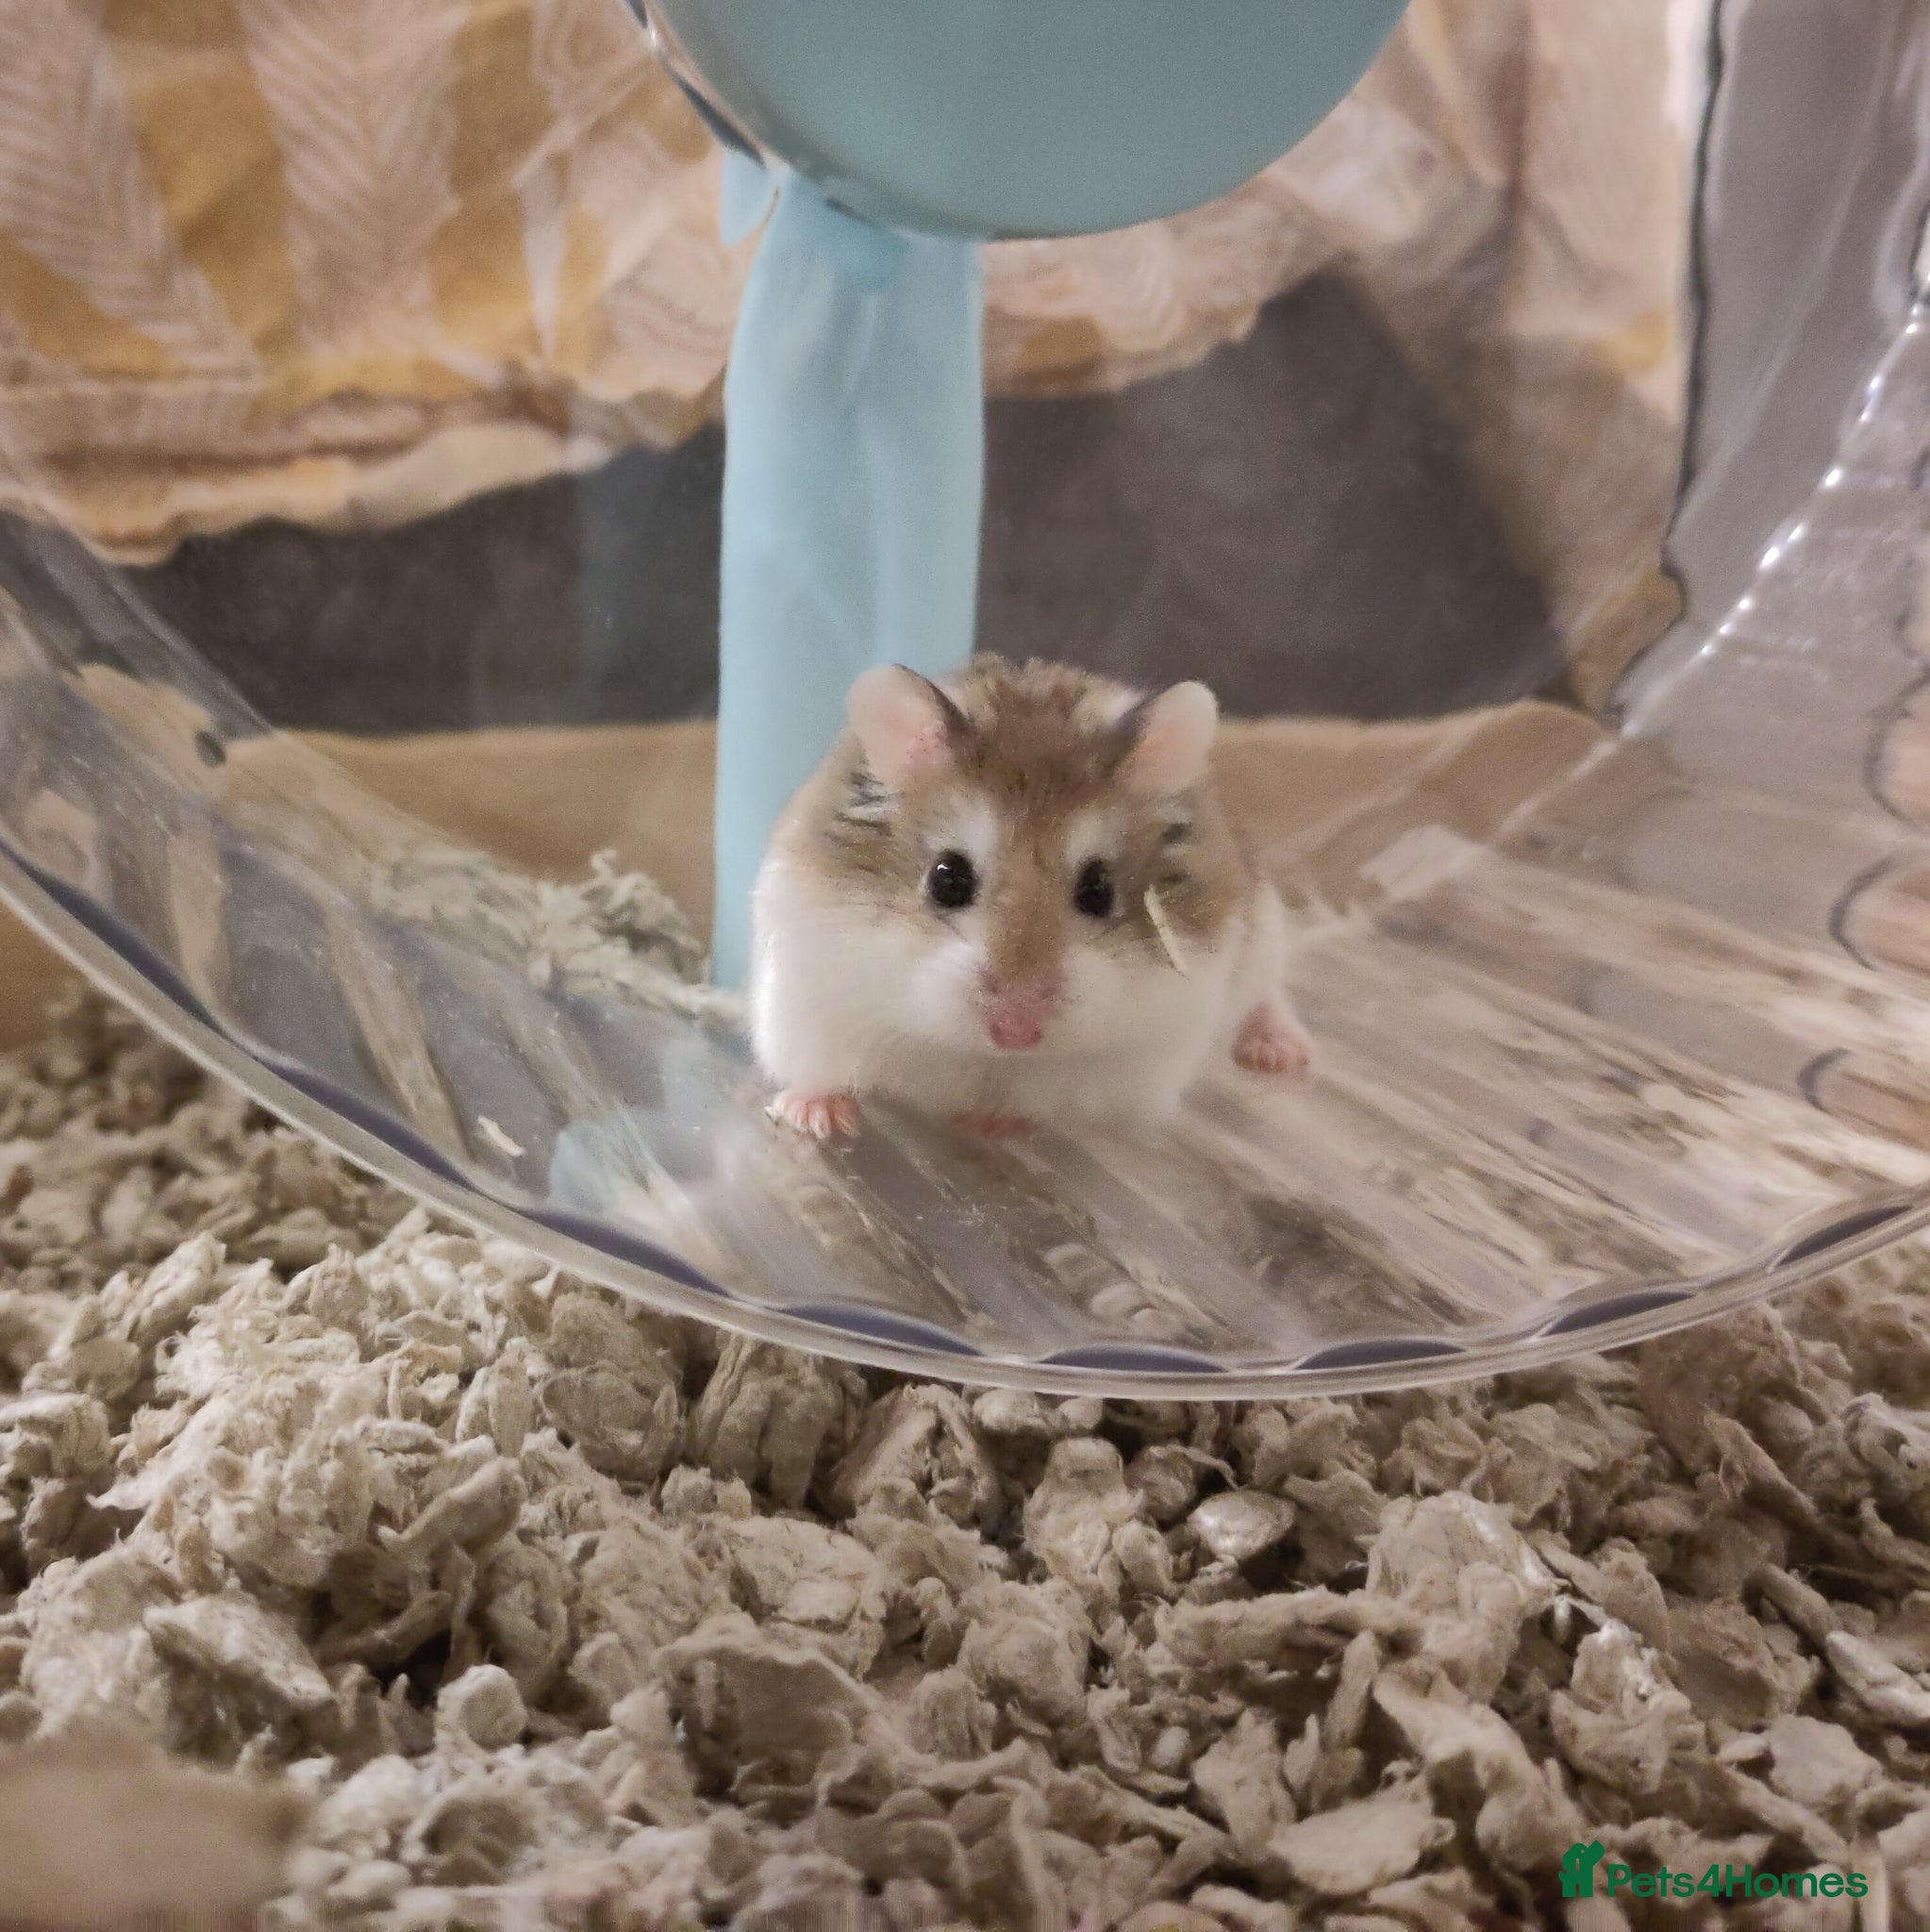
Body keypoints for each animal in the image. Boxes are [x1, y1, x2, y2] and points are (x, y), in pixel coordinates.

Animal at [749, 655, 1315, 1141]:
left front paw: (984, 1125)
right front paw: (815, 1119)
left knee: (1269, 996)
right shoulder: (805, 999)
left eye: (1099, 889)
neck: (978, 1055)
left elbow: (1027, 1100)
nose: (1015, 1033)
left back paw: (1281, 1054)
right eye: (946, 879)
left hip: (1265, 934)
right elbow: (819, 1071)